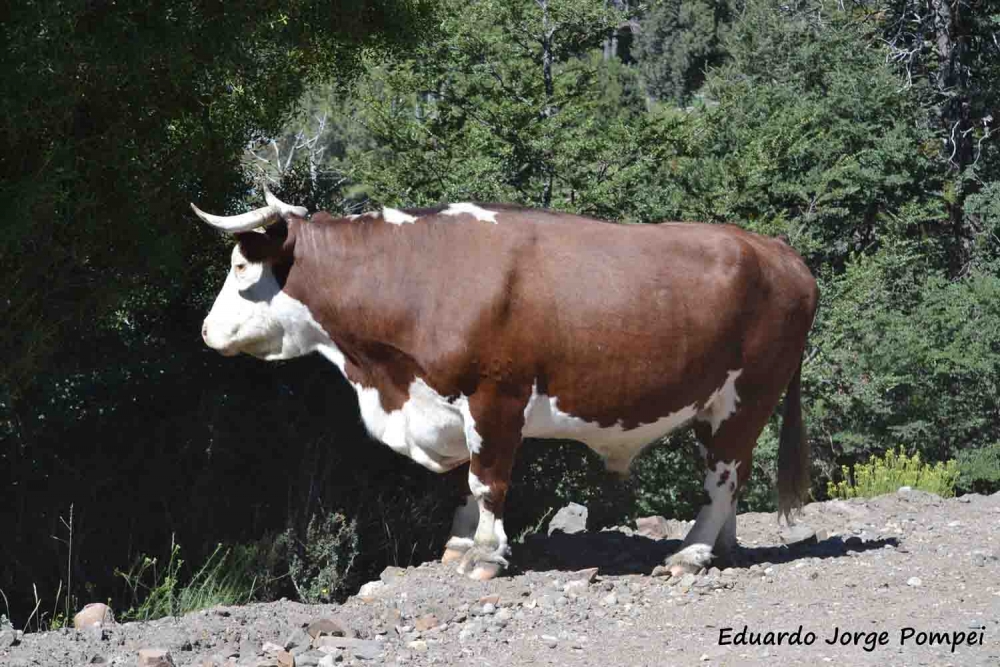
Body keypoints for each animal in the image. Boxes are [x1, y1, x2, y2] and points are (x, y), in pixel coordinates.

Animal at [191, 190, 816, 580]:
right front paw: (460, 543)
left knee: (723, 475)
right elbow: (465, 483)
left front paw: (488, 555)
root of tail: (776, 249)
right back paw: (720, 546)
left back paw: (693, 552)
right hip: (720, 405)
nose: (205, 331)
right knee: (730, 474)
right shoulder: (449, 406)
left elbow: (488, 479)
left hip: (748, 395)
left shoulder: (495, 398)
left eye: (241, 268)